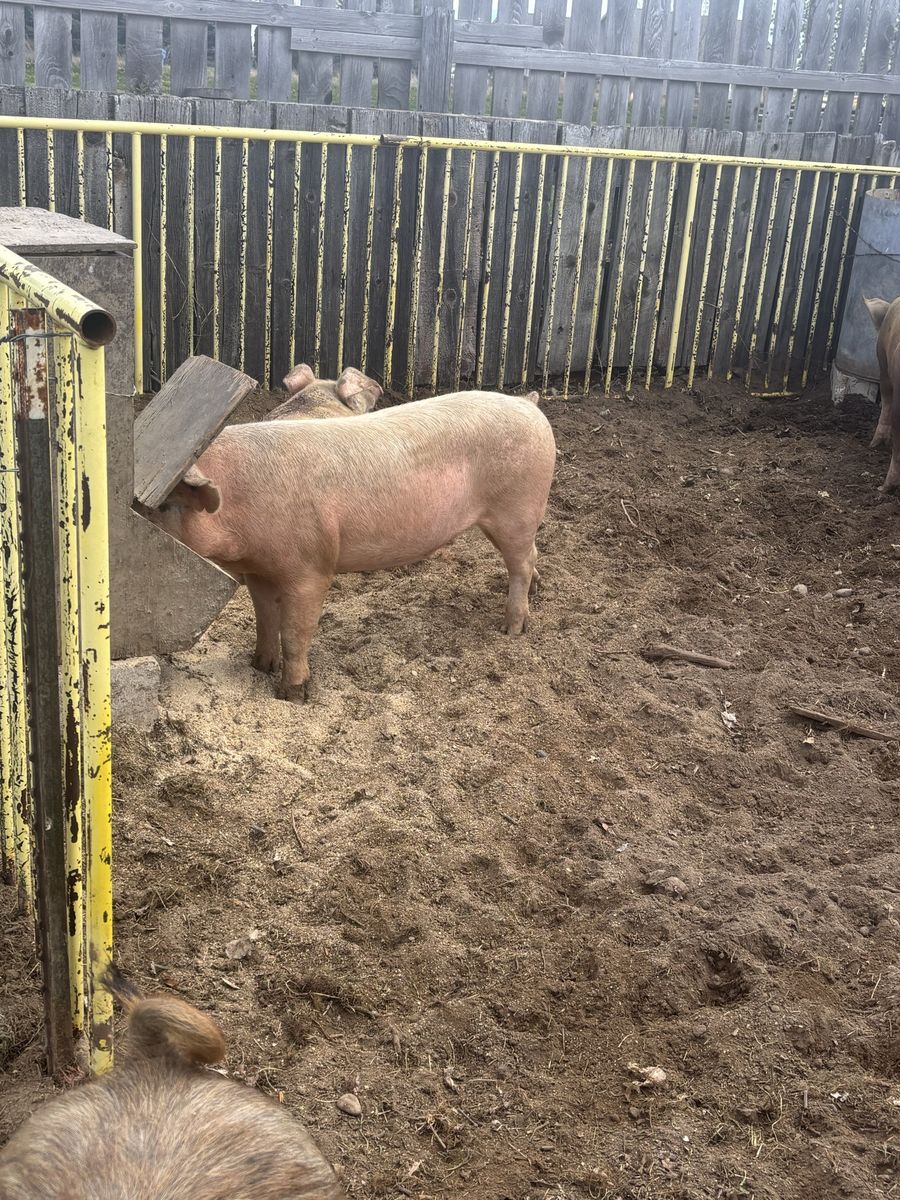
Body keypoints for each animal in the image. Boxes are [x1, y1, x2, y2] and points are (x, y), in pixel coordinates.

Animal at [141, 389, 556, 703]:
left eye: (160, 505)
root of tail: (528, 404)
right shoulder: (259, 570)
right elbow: (265, 619)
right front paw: (258, 666)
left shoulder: (310, 568)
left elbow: (295, 632)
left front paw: (292, 696)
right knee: (529, 557)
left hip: (517, 506)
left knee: (522, 561)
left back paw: (511, 630)